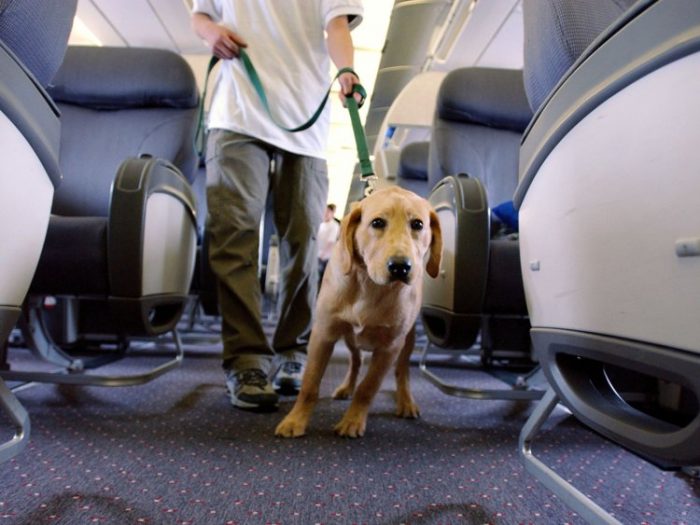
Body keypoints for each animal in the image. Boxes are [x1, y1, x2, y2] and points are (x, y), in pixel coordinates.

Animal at [276, 185, 440, 438]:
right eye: (377, 222)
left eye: (418, 224)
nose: (400, 267)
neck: (369, 285)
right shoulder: (323, 334)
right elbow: (310, 384)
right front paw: (295, 420)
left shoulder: (390, 347)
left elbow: (368, 388)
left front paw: (353, 420)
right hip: (350, 337)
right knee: (356, 360)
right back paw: (346, 387)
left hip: (408, 339)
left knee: (402, 371)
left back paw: (406, 401)